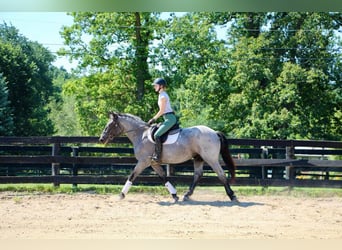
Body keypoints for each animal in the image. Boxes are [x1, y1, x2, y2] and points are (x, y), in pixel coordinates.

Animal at [99, 112, 238, 202]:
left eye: (110, 125)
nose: (101, 139)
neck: (141, 134)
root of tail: (214, 132)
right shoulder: (154, 163)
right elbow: (164, 177)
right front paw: (174, 195)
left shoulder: (143, 162)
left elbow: (132, 175)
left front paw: (121, 195)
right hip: (198, 158)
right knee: (198, 175)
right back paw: (187, 195)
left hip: (211, 159)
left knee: (221, 174)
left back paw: (232, 196)